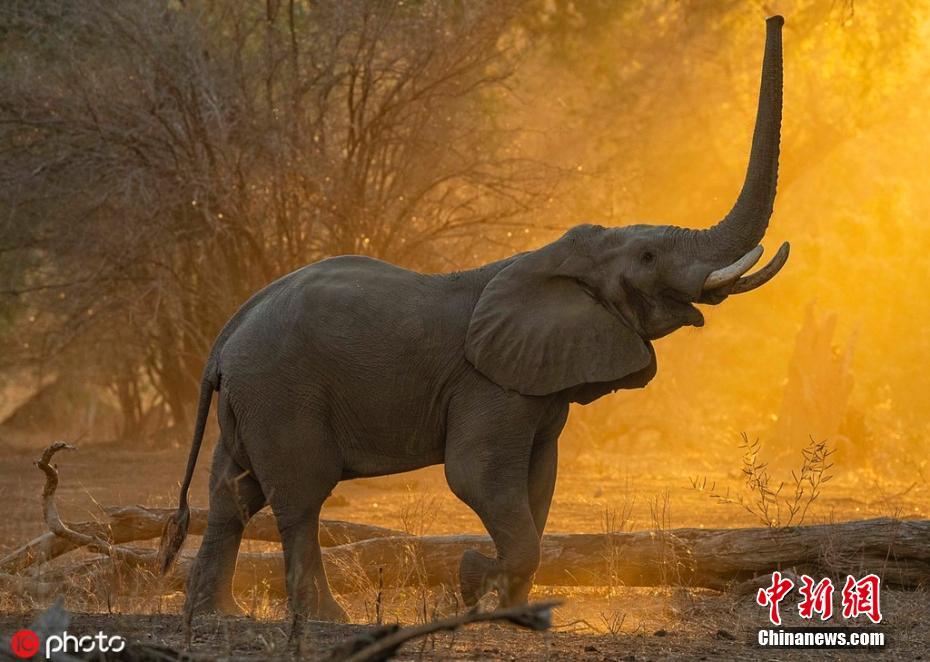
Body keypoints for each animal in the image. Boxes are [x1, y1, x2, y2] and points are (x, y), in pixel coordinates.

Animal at [160, 13, 792, 632]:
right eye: (648, 257)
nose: (775, 16)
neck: (549, 257)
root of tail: (226, 337)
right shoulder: (488, 383)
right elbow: (478, 476)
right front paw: (472, 582)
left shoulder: (539, 386)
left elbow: (539, 483)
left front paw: (512, 609)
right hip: (281, 390)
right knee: (298, 496)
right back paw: (326, 619)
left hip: (249, 398)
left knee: (231, 493)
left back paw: (216, 615)